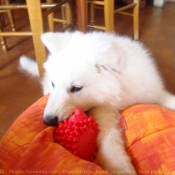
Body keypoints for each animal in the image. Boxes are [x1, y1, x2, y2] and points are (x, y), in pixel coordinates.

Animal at [19, 31, 175, 175]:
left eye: (76, 88)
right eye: (53, 84)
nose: (48, 120)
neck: (119, 91)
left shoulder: (152, 91)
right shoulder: (103, 114)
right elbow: (110, 144)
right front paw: (123, 169)